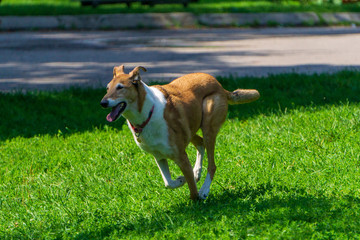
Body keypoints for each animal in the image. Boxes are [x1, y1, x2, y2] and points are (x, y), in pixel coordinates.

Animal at [100, 65, 260, 201]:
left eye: (120, 87)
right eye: (107, 88)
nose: (103, 103)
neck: (147, 112)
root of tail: (219, 86)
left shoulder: (181, 156)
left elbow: (192, 191)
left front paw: (195, 198)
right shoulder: (159, 156)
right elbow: (168, 183)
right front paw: (181, 179)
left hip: (208, 125)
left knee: (212, 164)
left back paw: (204, 190)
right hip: (191, 127)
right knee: (200, 143)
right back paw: (197, 172)